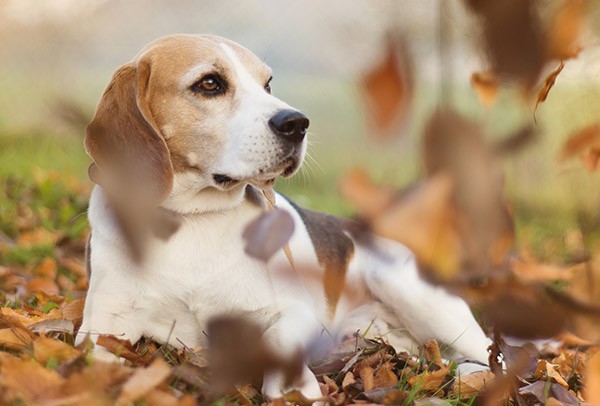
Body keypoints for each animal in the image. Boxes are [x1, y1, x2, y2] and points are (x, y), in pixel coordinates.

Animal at [77, 34, 492, 400]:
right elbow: (93, 361)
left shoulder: (293, 311)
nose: (297, 123)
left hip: (401, 284)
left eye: (267, 84)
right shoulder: (102, 325)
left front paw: (294, 390)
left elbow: (277, 340)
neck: (193, 217)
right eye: (209, 83)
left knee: (488, 352)